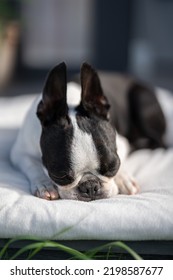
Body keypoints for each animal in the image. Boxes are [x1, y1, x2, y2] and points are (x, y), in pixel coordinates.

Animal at [10, 61, 172, 201]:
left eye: (113, 167)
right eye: (60, 176)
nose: (90, 186)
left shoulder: (122, 144)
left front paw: (123, 178)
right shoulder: (19, 153)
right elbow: (33, 165)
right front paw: (44, 184)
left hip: (142, 101)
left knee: (159, 142)